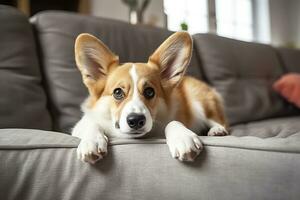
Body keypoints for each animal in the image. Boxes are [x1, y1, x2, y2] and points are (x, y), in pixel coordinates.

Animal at [72, 32, 227, 163]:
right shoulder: (80, 125)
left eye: (149, 92)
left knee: (219, 121)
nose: (136, 120)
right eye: (117, 92)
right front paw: (91, 142)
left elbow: (173, 122)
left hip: (199, 100)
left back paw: (217, 130)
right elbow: (91, 124)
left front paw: (183, 138)